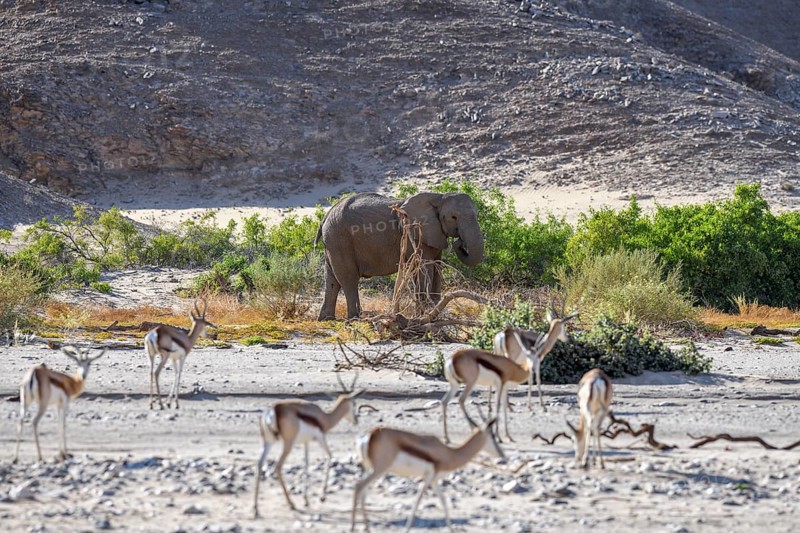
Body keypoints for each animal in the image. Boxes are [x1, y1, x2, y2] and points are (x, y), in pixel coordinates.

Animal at [315, 192, 485, 320]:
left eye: (477, 214)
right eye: (453, 217)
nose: (459, 242)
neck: (440, 197)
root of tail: (326, 216)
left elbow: (436, 269)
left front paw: (433, 314)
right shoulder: (415, 233)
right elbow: (425, 269)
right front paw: (423, 316)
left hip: (332, 241)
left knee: (332, 279)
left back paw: (326, 319)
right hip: (339, 239)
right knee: (349, 278)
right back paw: (355, 318)